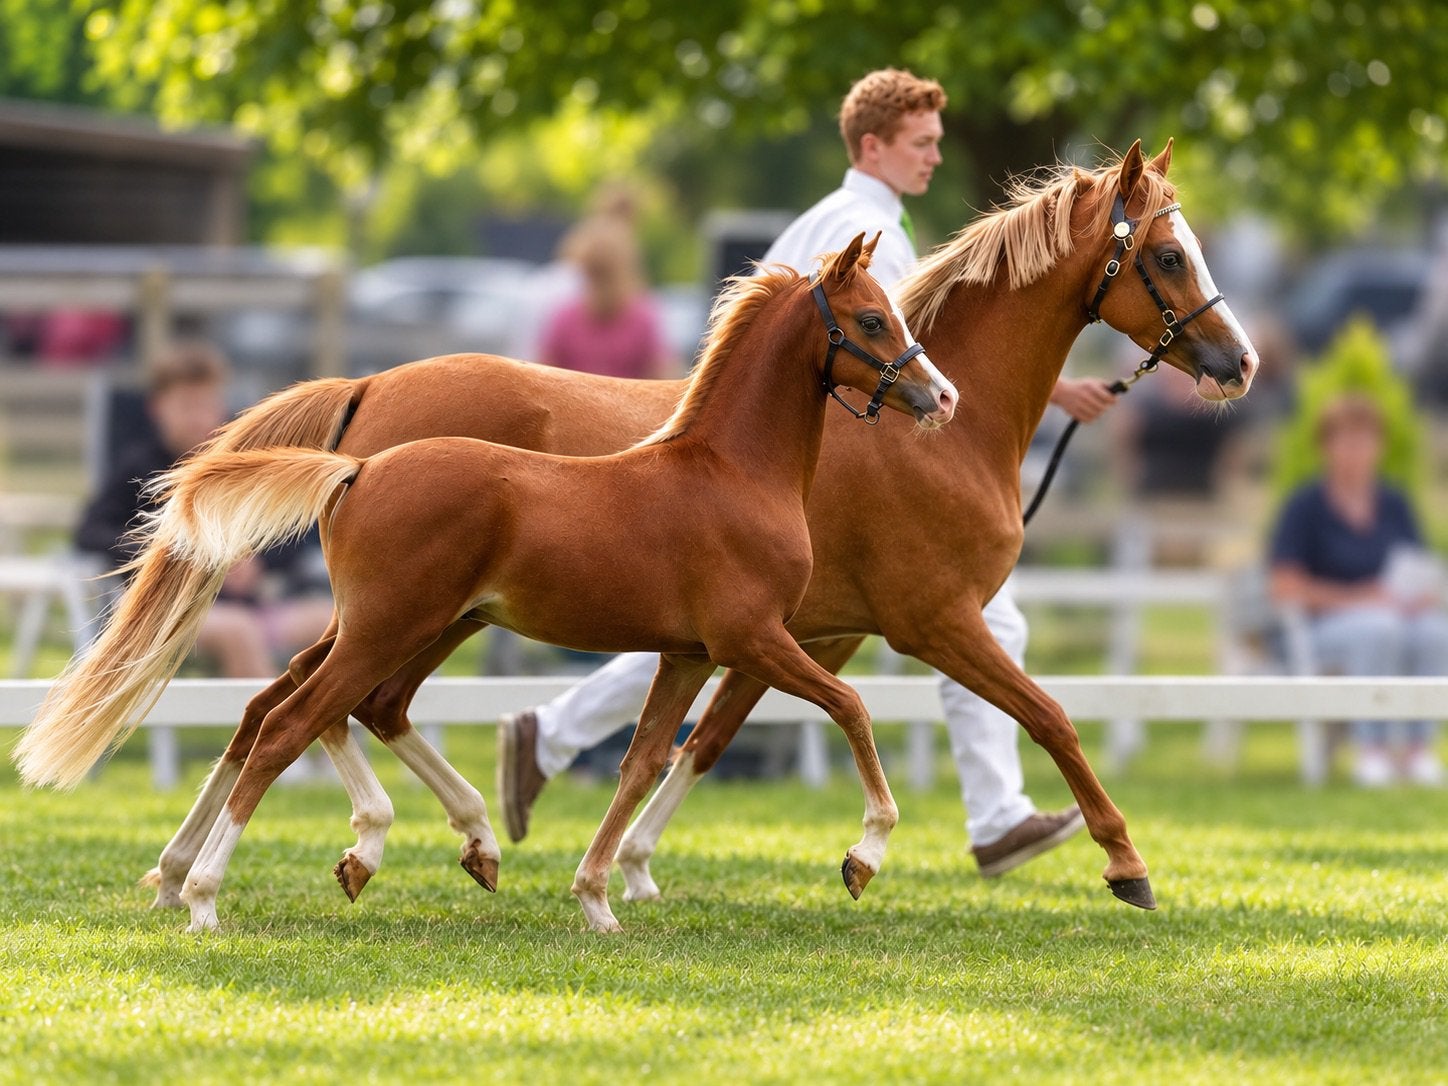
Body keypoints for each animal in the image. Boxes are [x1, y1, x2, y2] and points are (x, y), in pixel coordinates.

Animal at [15, 233, 957, 933]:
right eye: (871, 319)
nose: (942, 396)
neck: (728, 472)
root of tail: (358, 464)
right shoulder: (754, 637)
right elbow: (851, 708)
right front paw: (864, 856)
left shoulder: (687, 653)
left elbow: (642, 761)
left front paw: (596, 899)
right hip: (392, 626)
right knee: (293, 720)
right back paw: (212, 894)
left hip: (410, 625)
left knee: (306, 707)